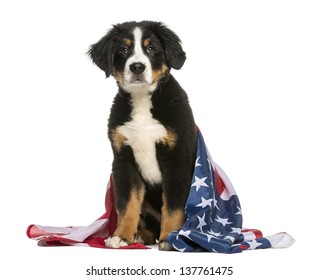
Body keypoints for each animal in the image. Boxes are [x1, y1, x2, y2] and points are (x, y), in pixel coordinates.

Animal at [87, 20, 196, 250]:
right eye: (124, 49)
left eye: (151, 48)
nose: (137, 66)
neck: (142, 100)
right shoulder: (124, 160)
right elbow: (127, 204)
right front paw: (121, 236)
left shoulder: (177, 159)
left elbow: (173, 205)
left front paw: (170, 238)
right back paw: (139, 236)